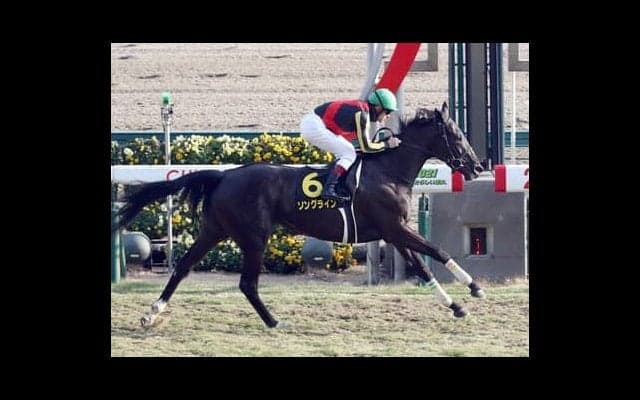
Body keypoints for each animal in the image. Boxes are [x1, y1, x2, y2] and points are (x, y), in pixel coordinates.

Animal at [114, 102, 486, 328]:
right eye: (456, 135)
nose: (477, 167)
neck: (388, 172)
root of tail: (224, 175)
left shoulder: (393, 232)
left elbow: (423, 267)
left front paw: (457, 305)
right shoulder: (394, 227)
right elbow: (437, 251)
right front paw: (475, 288)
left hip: (215, 230)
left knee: (182, 267)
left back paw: (152, 313)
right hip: (254, 236)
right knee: (247, 283)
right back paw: (274, 321)